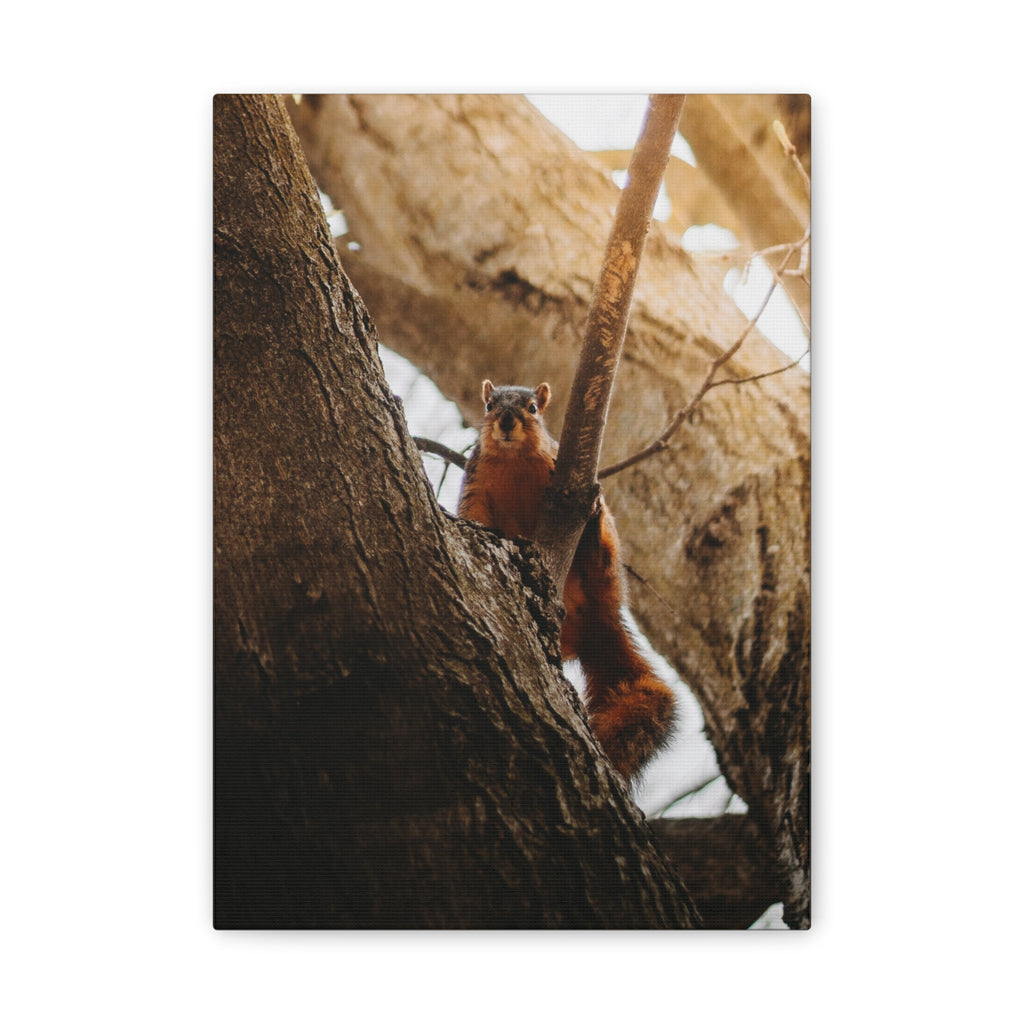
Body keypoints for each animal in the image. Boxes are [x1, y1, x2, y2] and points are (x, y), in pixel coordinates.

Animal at [458, 379, 676, 784]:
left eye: (532, 408)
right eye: (490, 405)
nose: (506, 421)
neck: (514, 461)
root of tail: (598, 621)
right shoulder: (475, 484)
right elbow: (475, 516)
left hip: (607, 576)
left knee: (600, 562)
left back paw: (594, 534)